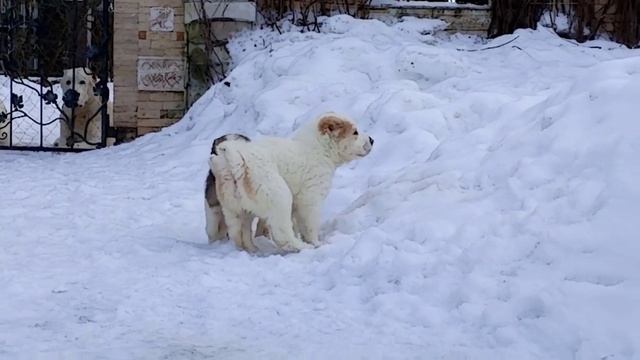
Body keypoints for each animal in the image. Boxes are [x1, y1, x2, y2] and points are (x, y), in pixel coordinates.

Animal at [210, 113, 372, 253]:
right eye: (355, 132)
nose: (372, 140)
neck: (319, 148)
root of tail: (237, 160)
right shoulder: (310, 199)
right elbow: (309, 225)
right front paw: (316, 243)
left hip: (235, 209)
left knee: (239, 233)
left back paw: (252, 250)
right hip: (278, 194)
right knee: (282, 234)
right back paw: (302, 247)